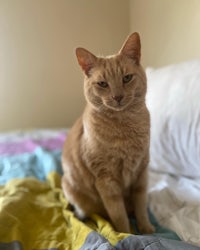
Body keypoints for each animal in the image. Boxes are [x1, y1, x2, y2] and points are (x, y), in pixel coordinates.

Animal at [61, 32, 155, 233]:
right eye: (103, 84)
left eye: (127, 78)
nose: (117, 97)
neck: (125, 126)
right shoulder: (106, 180)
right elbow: (119, 215)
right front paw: (128, 234)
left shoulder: (141, 173)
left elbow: (141, 207)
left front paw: (146, 228)